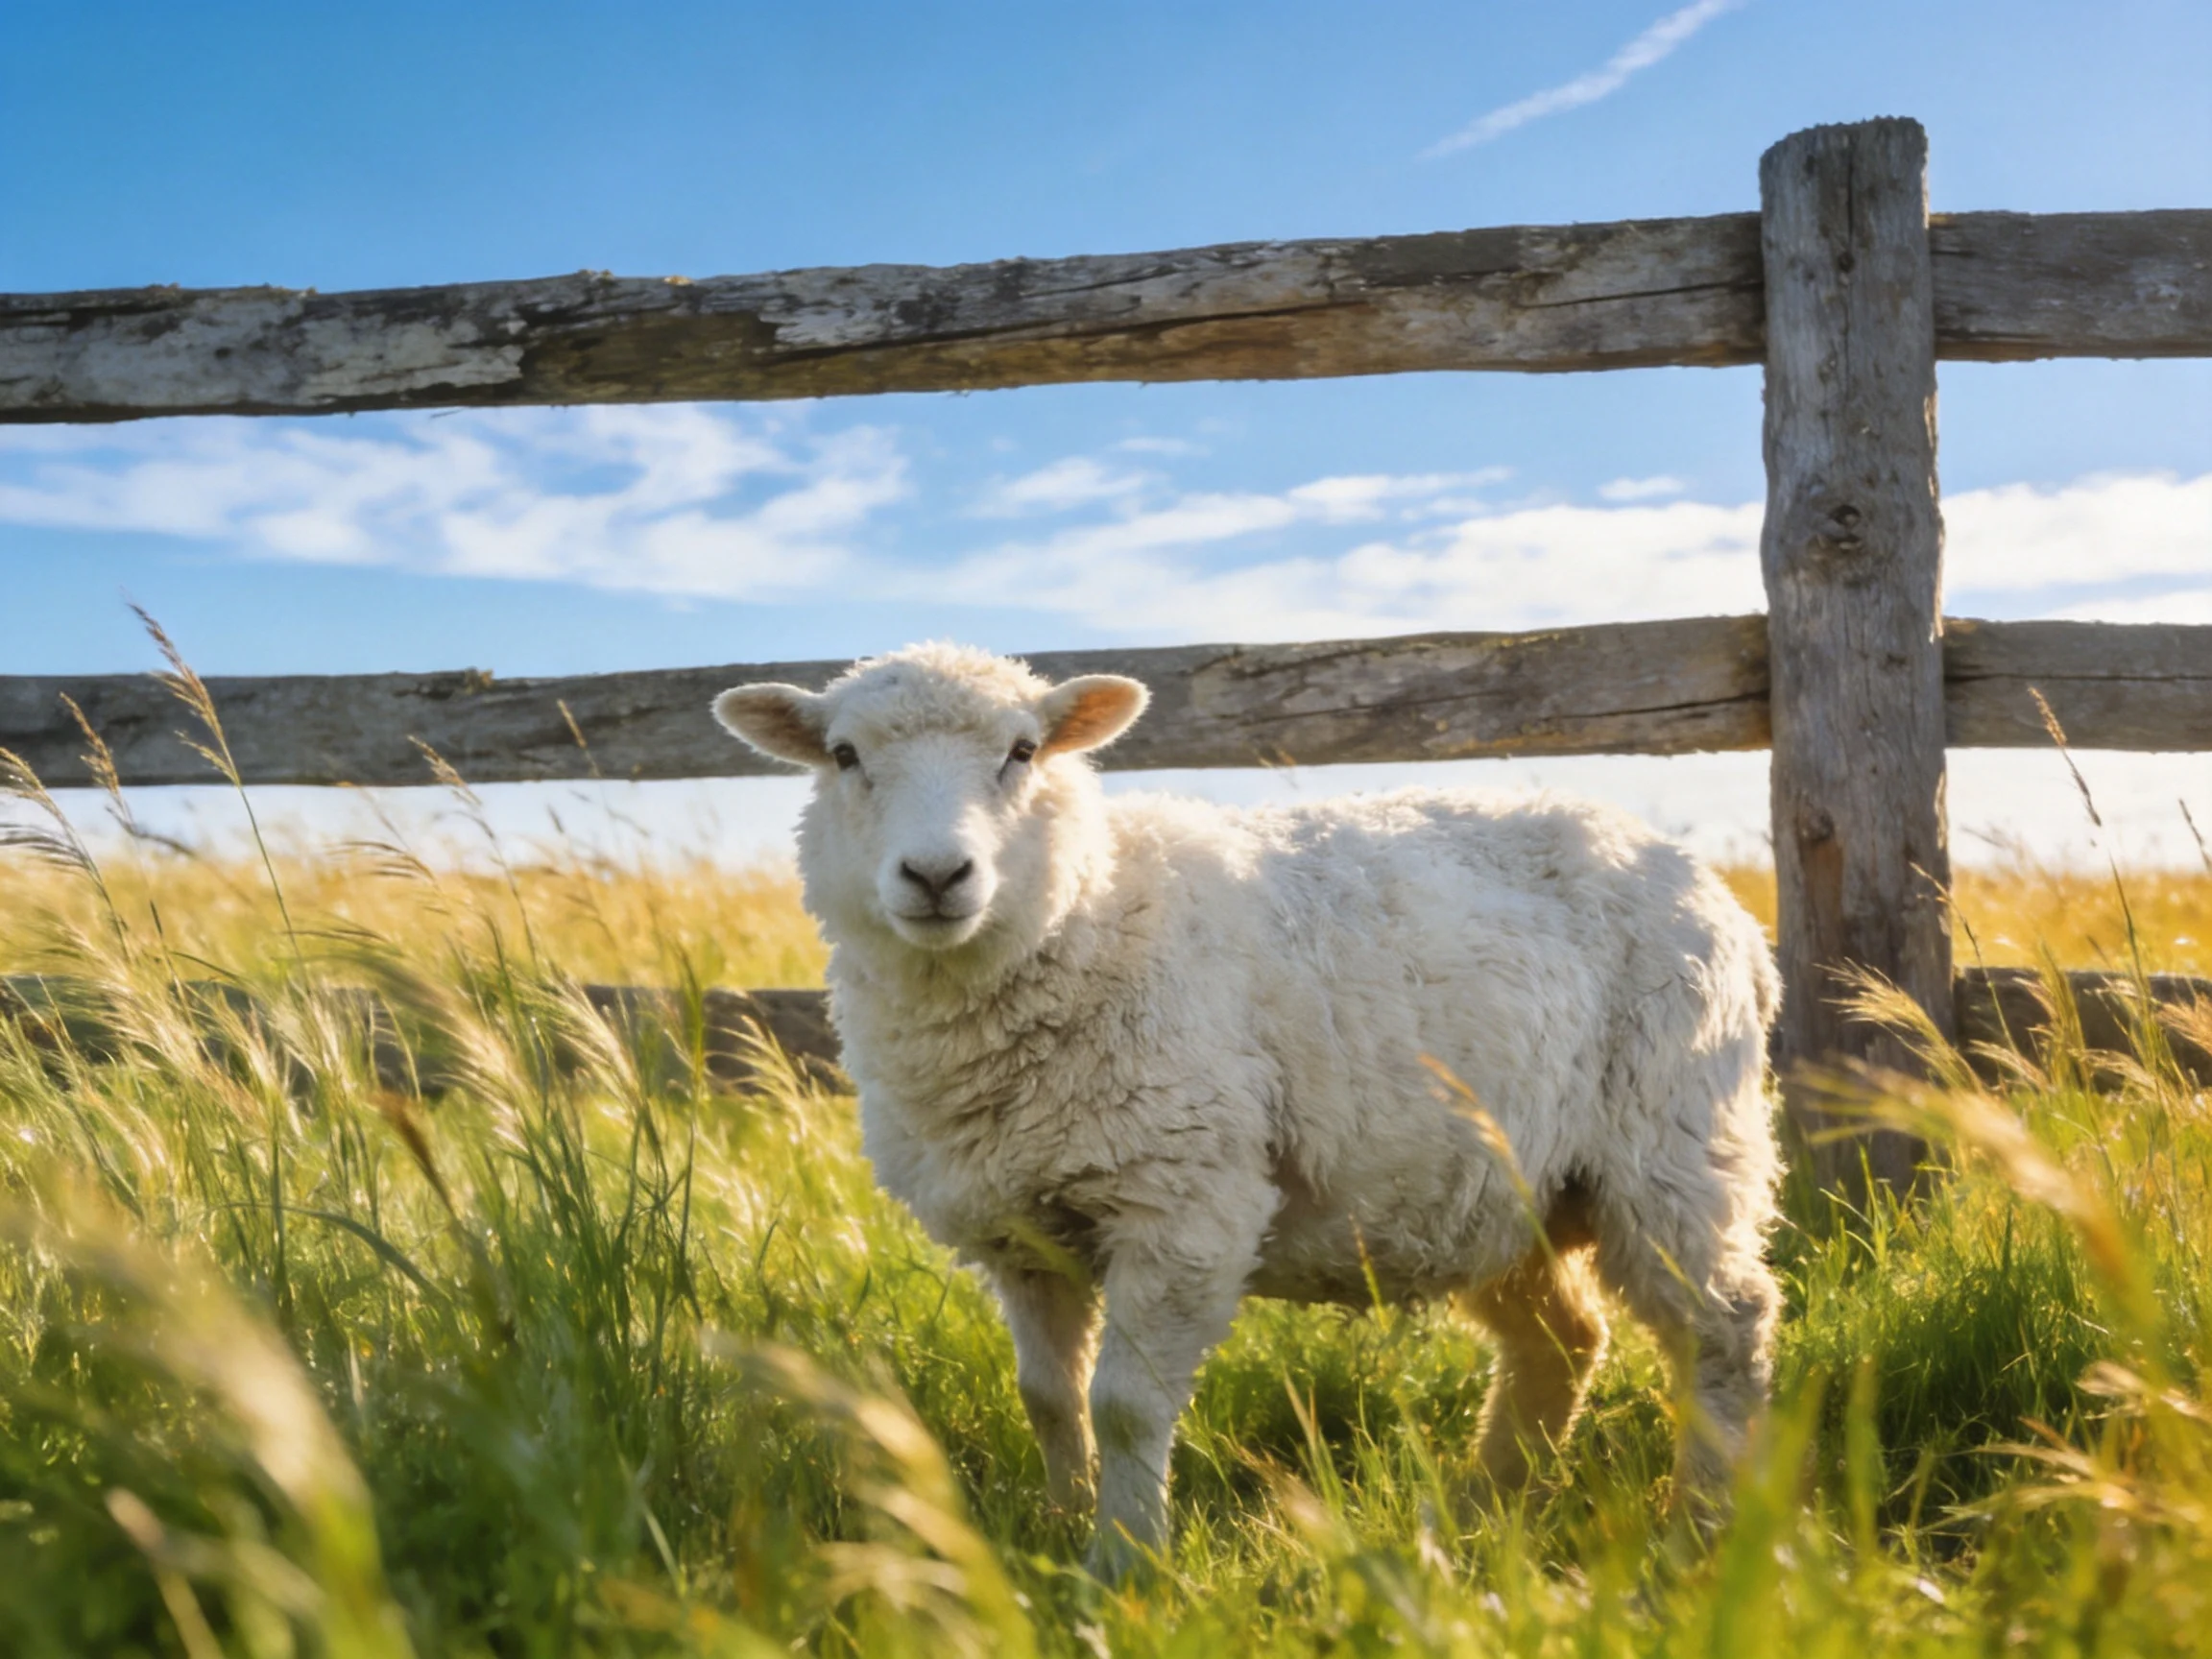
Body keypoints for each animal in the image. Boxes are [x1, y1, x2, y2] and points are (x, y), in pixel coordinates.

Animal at [713, 642, 1782, 1574]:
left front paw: (1123, 1563)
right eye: (845, 756)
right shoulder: (1022, 1230)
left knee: (1725, 1324)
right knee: (1563, 1341)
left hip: (1674, 1143)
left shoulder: (1184, 1201)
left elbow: (1127, 1405)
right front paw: (1058, 1529)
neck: (1087, 916)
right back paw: (1486, 1511)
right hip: (1496, 1189)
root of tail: (1708, 886)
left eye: (1021, 752)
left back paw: (1700, 1526)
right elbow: (1049, 1398)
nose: (937, 876)